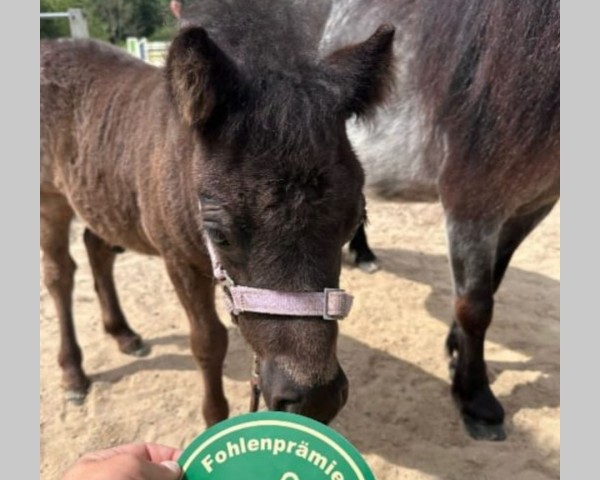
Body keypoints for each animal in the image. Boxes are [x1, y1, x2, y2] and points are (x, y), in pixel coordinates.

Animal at [39, 0, 396, 428]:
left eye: (353, 222)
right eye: (219, 233)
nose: (315, 400)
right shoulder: (178, 261)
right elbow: (208, 341)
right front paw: (214, 420)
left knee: (97, 247)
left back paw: (123, 334)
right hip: (50, 203)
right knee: (59, 275)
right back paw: (73, 374)